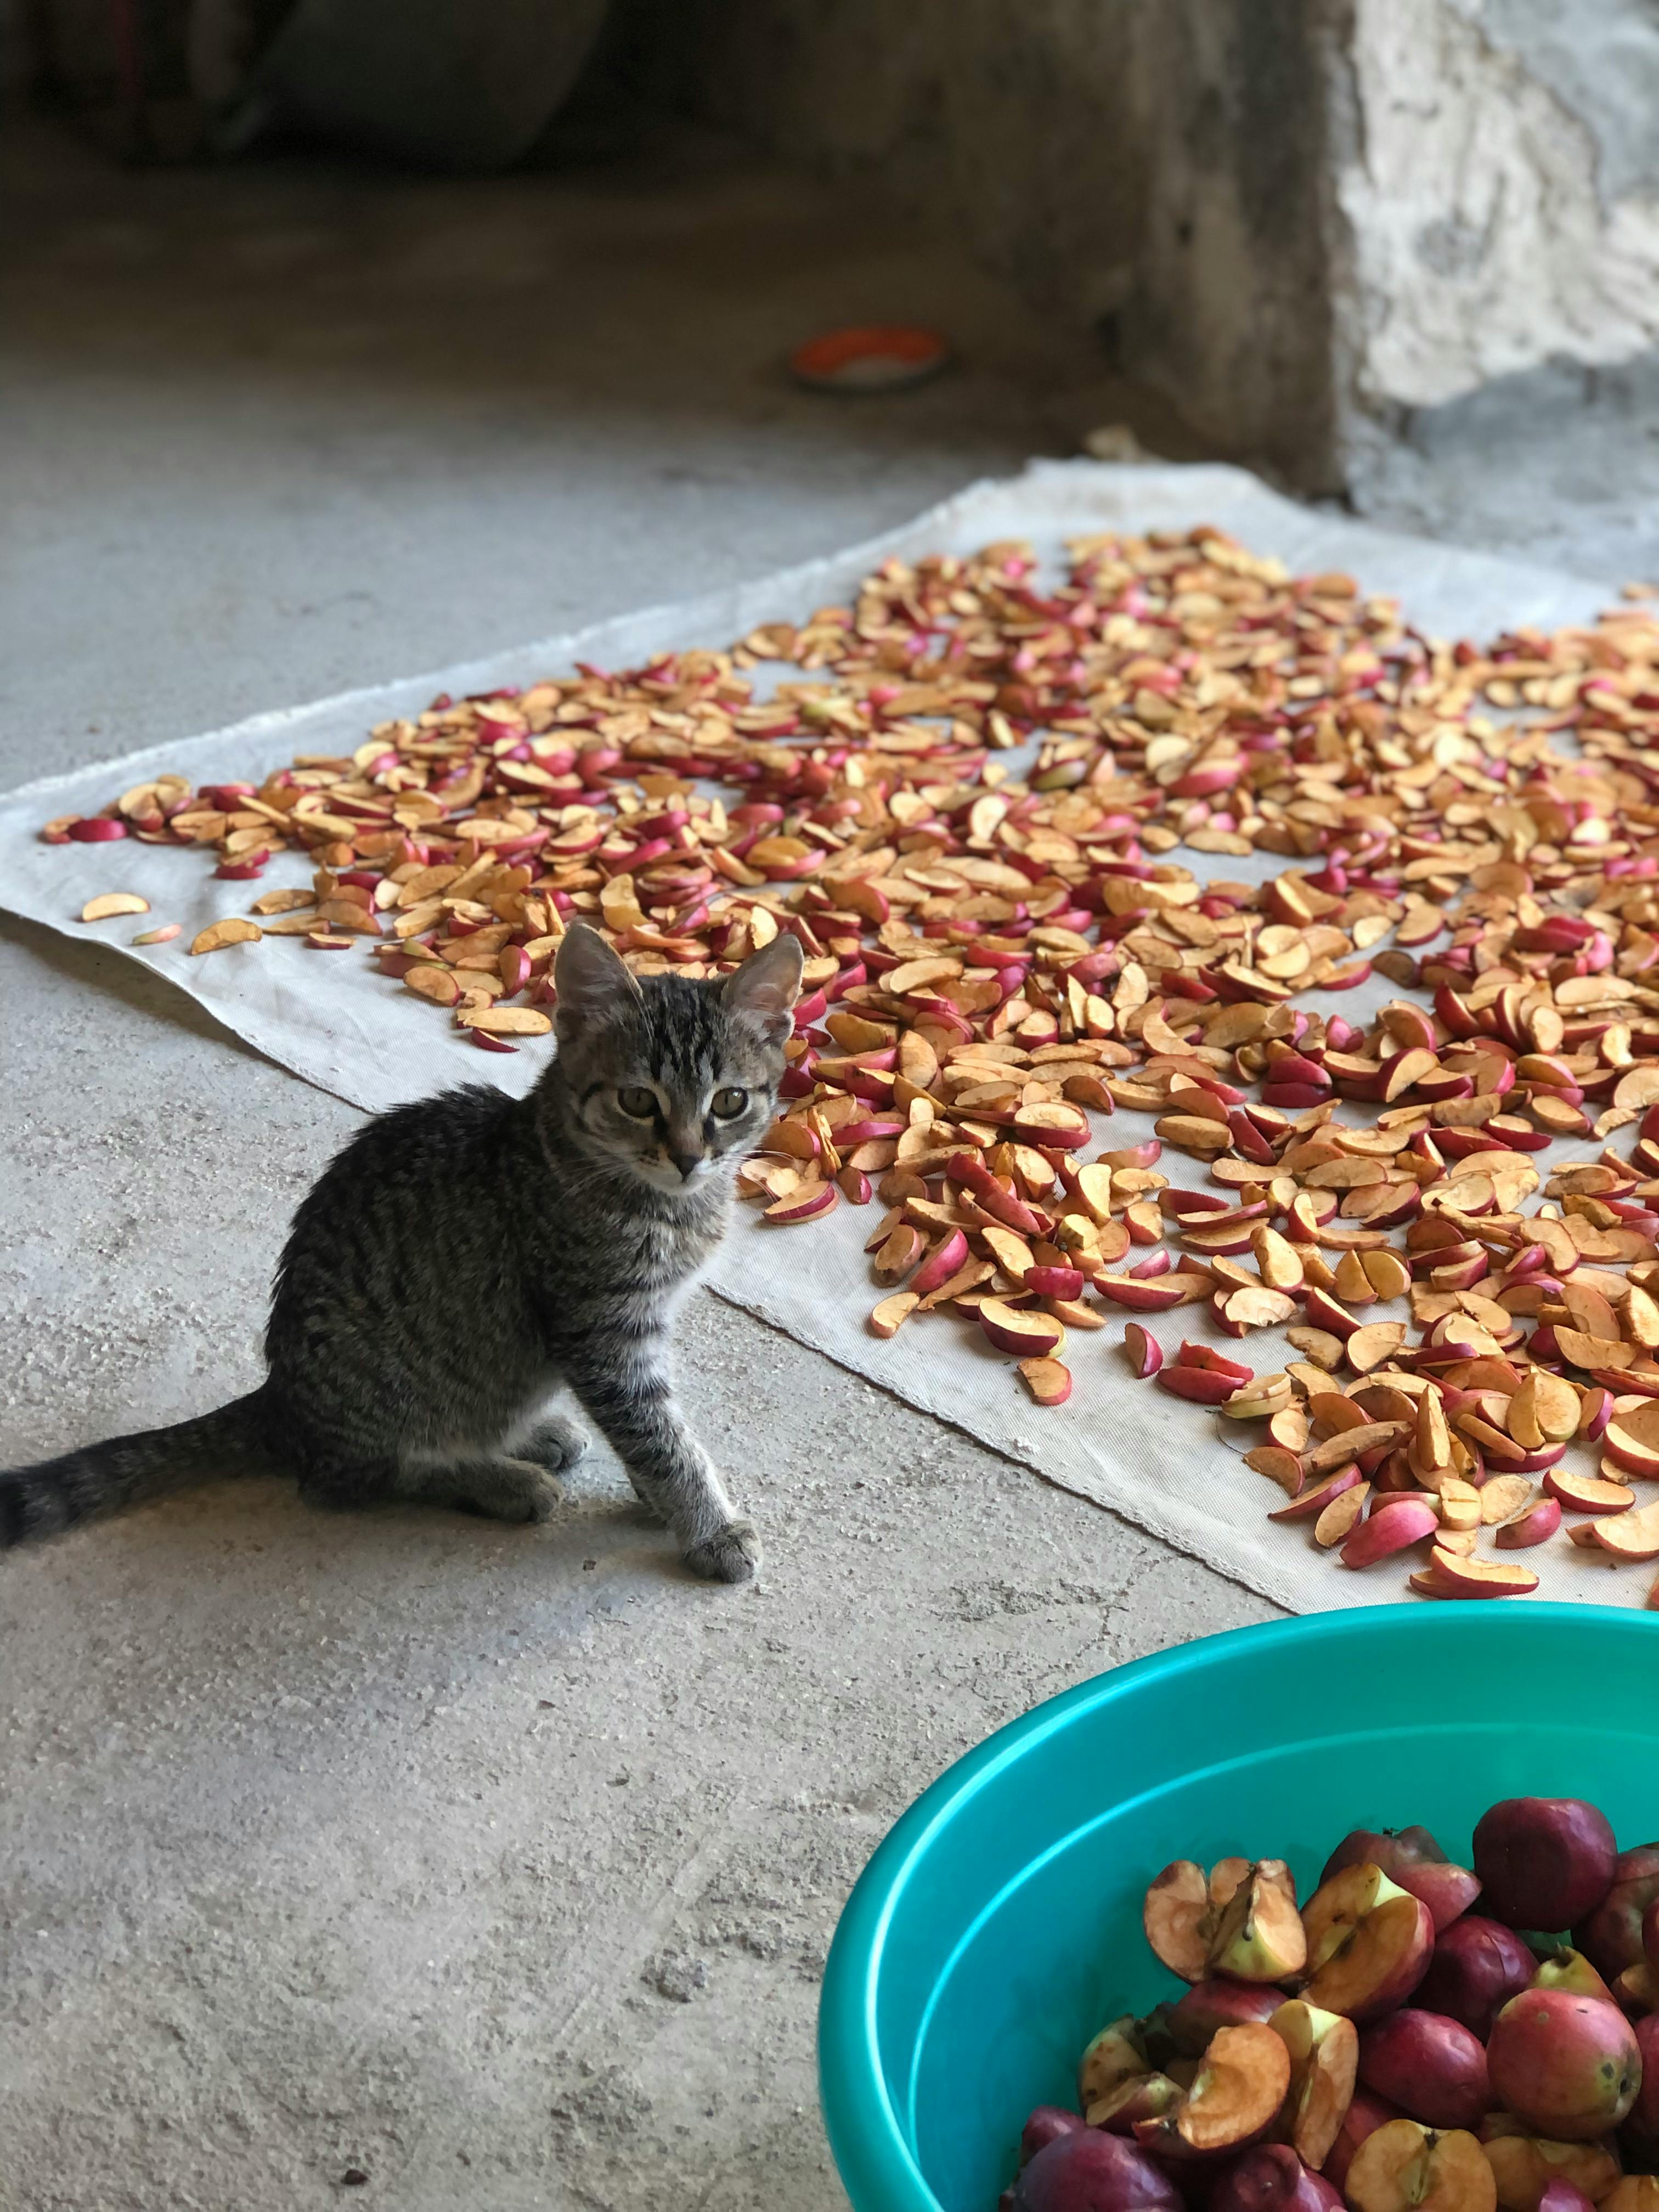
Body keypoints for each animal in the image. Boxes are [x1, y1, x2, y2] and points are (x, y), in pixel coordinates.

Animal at [0, 924, 805, 1583]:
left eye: (729, 1103)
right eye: (639, 1102)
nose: (690, 1158)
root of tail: (280, 1401)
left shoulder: (639, 1326)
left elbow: (654, 1425)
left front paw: (667, 1501)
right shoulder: (600, 1328)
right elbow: (657, 1434)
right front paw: (706, 1524)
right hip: (385, 1399)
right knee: (354, 1479)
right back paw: (499, 1480)